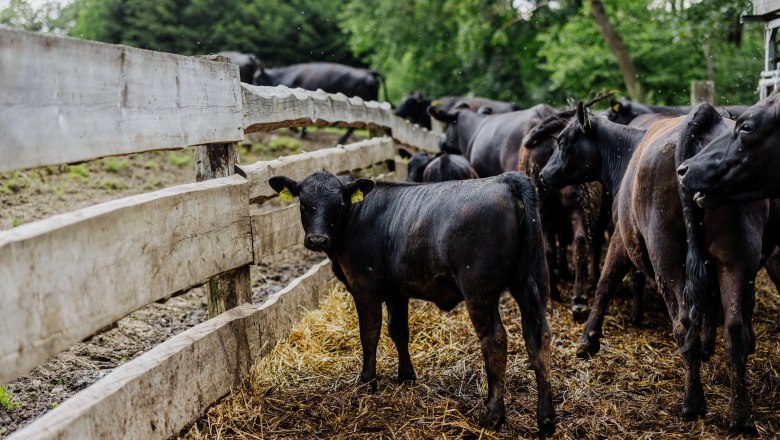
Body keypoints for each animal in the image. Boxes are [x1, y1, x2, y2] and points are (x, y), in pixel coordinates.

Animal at [267, 171, 555, 433]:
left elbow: (369, 333)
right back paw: (546, 419)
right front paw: (406, 376)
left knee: (495, 340)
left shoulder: (364, 287)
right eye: (303, 203)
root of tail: (505, 179)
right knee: (538, 337)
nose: (317, 240)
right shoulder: (398, 290)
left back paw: (493, 416)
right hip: (532, 282)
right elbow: (399, 331)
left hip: (479, 290)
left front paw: (367, 382)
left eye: (338, 204)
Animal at [540, 102, 778, 434]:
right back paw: (740, 414)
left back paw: (693, 403)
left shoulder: (621, 237)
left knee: (683, 323)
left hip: (666, 255)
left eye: (562, 141)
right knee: (735, 329)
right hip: (737, 257)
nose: (543, 174)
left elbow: (606, 283)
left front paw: (588, 339)